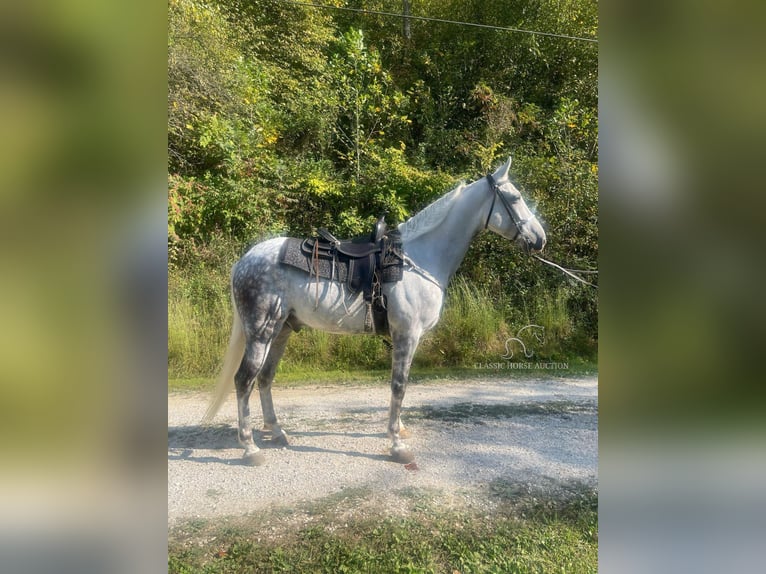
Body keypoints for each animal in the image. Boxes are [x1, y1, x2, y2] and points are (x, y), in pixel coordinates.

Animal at [201, 158, 544, 468]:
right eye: (515, 198)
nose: (540, 239)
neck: (417, 260)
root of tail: (244, 261)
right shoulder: (406, 334)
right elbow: (399, 384)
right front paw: (396, 445)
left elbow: (400, 385)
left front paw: (399, 430)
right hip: (261, 332)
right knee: (244, 380)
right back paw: (250, 448)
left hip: (282, 330)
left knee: (265, 378)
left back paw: (278, 432)